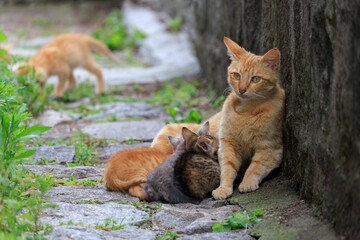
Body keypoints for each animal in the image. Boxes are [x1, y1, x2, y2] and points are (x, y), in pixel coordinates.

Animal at [102, 36, 284, 201]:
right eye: (237, 75)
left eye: (255, 79)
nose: (242, 90)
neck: (247, 109)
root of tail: (108, 173)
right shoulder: (228, 143)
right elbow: (227, 167)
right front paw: (223, 188)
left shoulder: (270, 147)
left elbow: (256, 167)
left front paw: (247, 182)